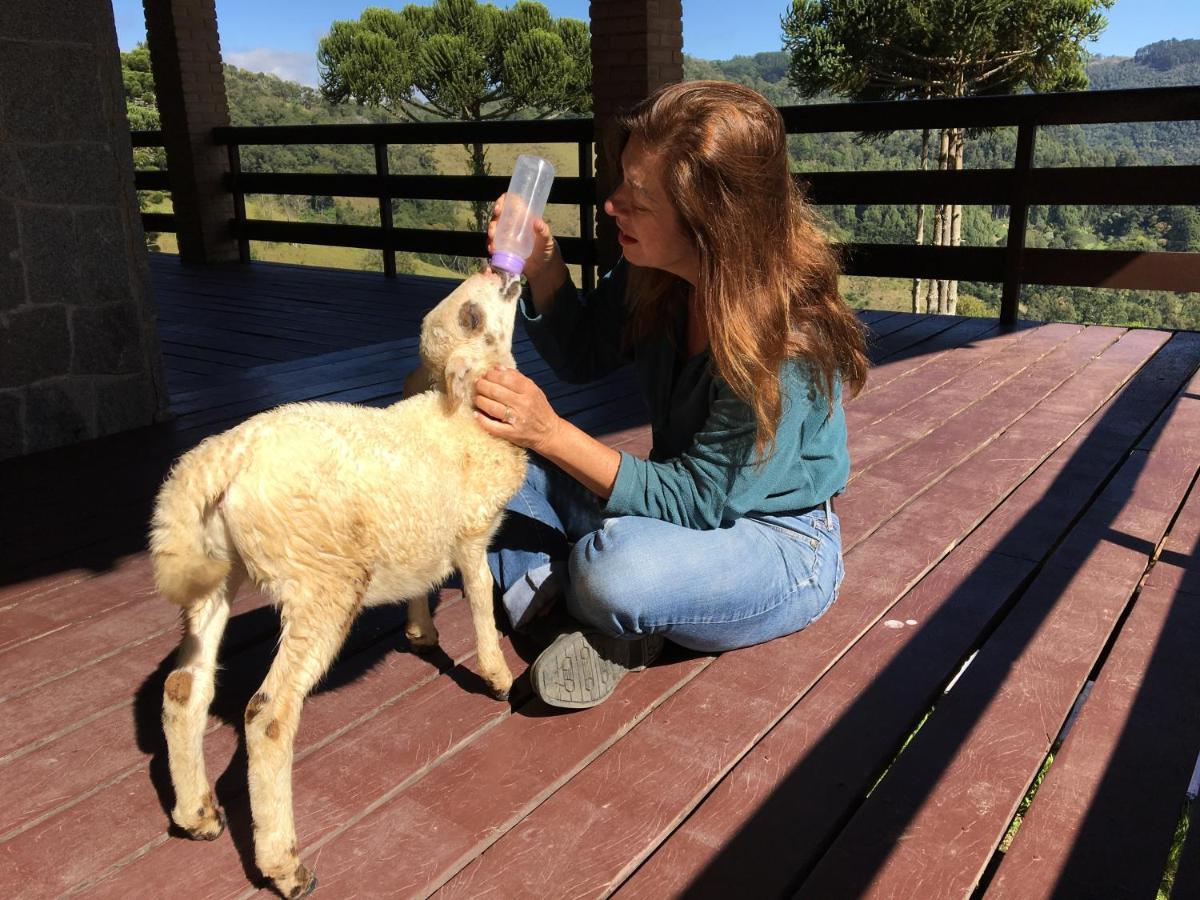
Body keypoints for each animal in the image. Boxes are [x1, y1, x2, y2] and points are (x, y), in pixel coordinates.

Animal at [148, 266, 525, 897]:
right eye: (471, 317)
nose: (500, 269)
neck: (460, 415)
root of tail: (221, 459)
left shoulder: (418, 525)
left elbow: (419, 580)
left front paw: (421, 633)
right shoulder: (472, 534)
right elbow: (479, 602)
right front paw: (498, 679)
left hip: (213, 571)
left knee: (183, 687)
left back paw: (196, 813)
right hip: (322, 580)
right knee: (267, 716)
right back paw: (285, 866)